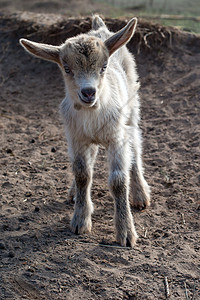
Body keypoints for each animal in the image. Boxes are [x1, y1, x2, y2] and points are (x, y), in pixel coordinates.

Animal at [19, 15, 150, 247]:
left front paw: (126, 233)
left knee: (135, 145)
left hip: (132, 109)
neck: (92, 114)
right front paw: (80, 219)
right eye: (67, 68)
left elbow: (118, 181)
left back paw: (140, 194)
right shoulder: (76, 138)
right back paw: (74, 192)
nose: (88, 92)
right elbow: (82, 174)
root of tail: (100, 27)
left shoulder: (117, 138)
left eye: (104, 66)